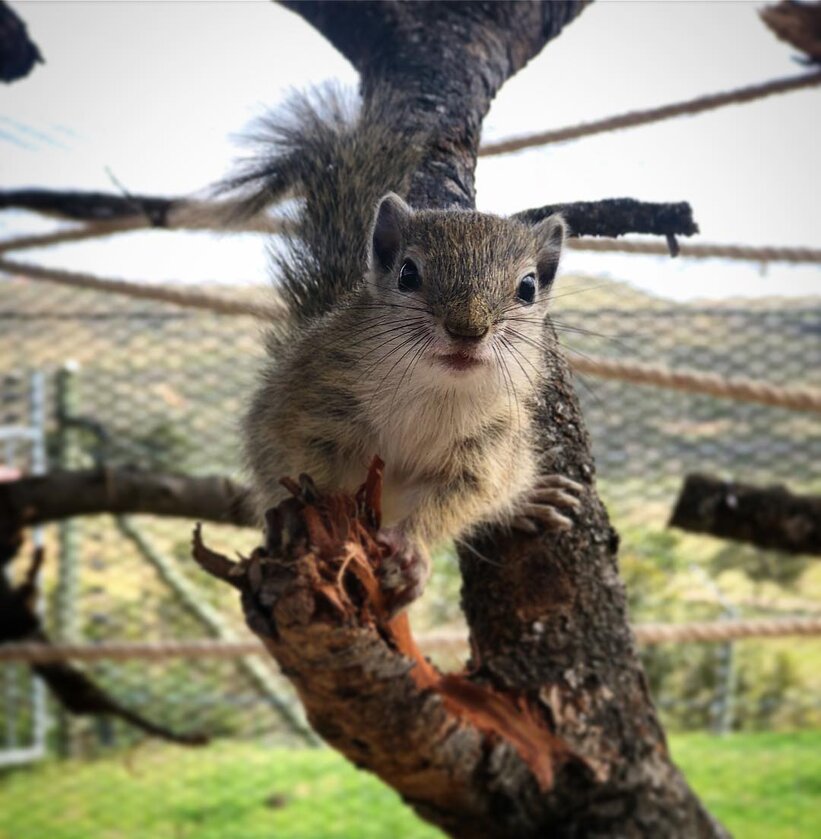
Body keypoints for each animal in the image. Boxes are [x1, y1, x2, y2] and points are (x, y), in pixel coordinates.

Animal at [229, 92, 584, 612]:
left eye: (528, 287)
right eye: (408, 274)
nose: (467, 330)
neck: (433, 390)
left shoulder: (487, 449)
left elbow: (459, 501)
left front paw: (413, 552)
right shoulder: (312, 404)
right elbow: (308, 466)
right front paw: (309, 515)